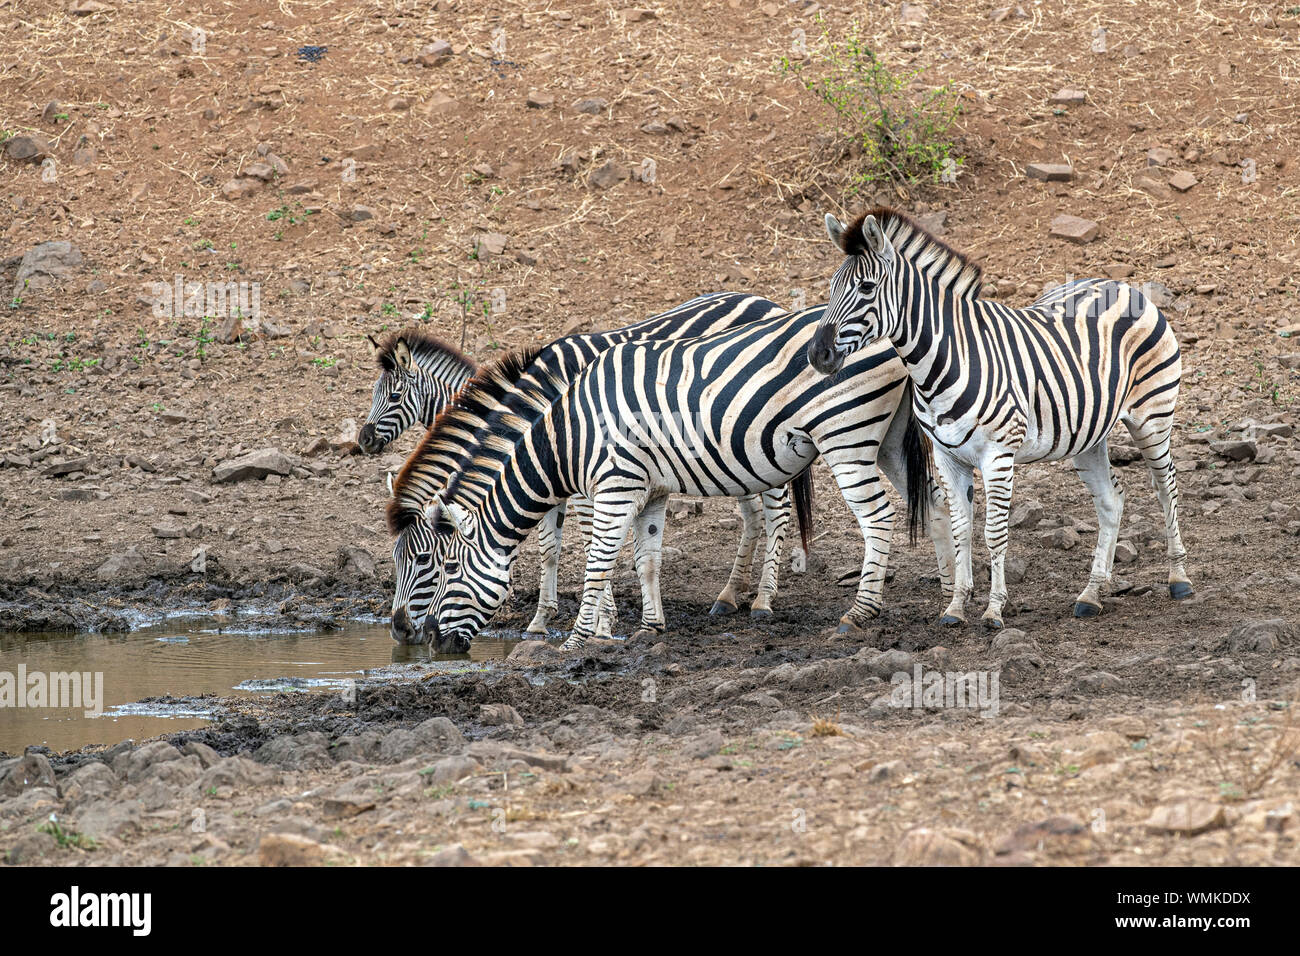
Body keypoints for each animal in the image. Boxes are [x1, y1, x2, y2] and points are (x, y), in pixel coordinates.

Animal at [388, 303, 952, 653]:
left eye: (440, 568)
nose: (420, 638)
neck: (567, 430)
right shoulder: (651, 489)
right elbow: (646, 560)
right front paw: (648, 629)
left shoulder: (611, 486)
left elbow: (596, 562)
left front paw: (581, 637)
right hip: (888, 438)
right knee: (936, 501)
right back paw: (953, 601)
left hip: (844, 438)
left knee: (873, 518)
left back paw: (854, 612)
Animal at [808, 207, 1192, 628]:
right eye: (831, 288)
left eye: (866, 288)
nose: (817, 355)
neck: (944, 361)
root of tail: (1119, 285)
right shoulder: (948, 457)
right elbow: (962, 528)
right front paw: (956, 607)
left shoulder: (998, 455)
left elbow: (994, 532)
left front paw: (994, 610)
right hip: (1087, 433)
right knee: (1111, 500)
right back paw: (1091, 594)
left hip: (1152, 416)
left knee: (1166, 486)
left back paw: (1179, 579)